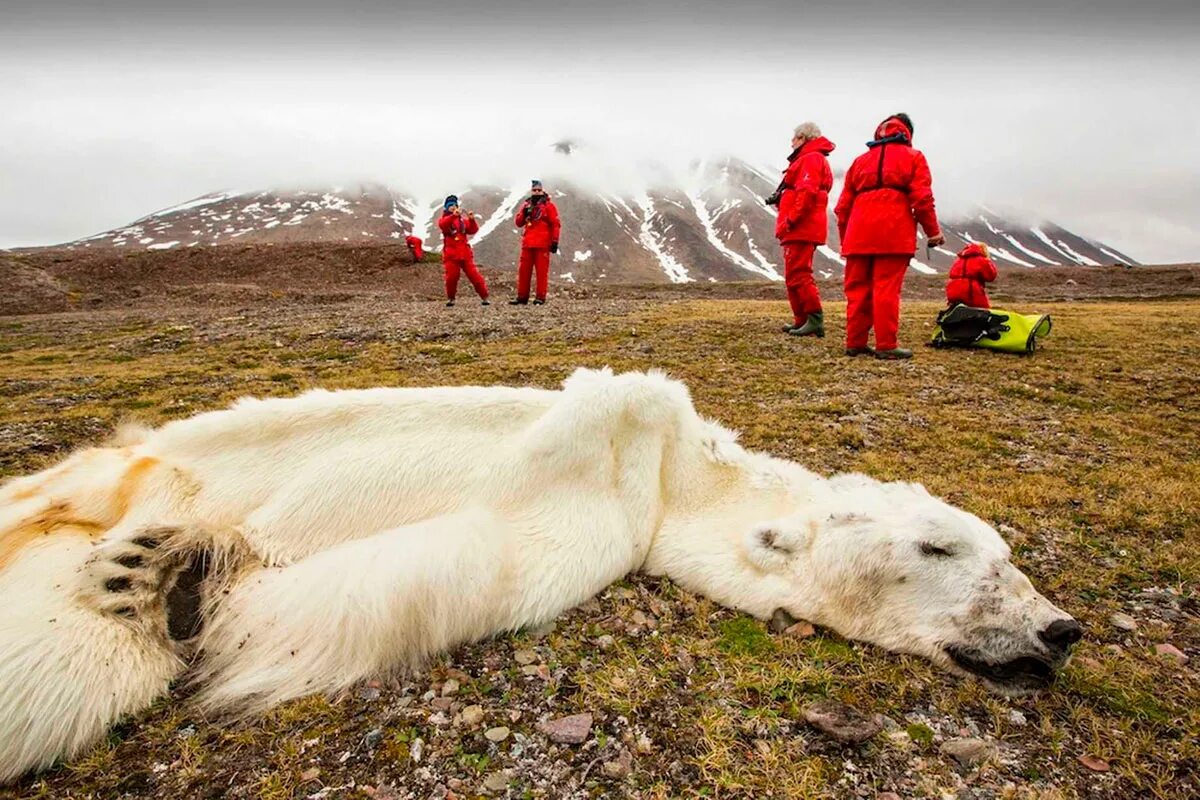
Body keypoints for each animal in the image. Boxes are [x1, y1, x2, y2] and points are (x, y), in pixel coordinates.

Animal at [0, 367, 1084, 786]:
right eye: (942, 548)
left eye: (1008, 556)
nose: (1059, 628)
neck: (674, 475)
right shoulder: (607, 468)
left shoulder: (599, 523)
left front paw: (192, 581)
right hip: (134, 464)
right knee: (72, 490)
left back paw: (145, 572)